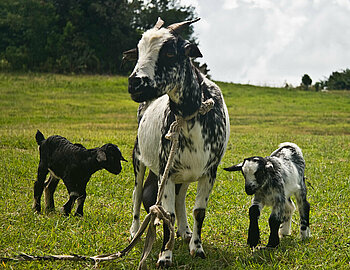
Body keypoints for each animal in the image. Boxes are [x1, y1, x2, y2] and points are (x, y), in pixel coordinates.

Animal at [123, 17, 230, 266]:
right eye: (138, 52)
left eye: (170, 52)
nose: (135, 84)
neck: (190, 113)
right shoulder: (167, 171)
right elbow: (167, 213)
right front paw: (165, 256)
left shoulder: (208, 171)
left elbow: (199, 211)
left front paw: (197, 248)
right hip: (138, 156)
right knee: (137, 193)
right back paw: (134, 230)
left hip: (187, 171)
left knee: (180, 199)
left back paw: (184, 231)